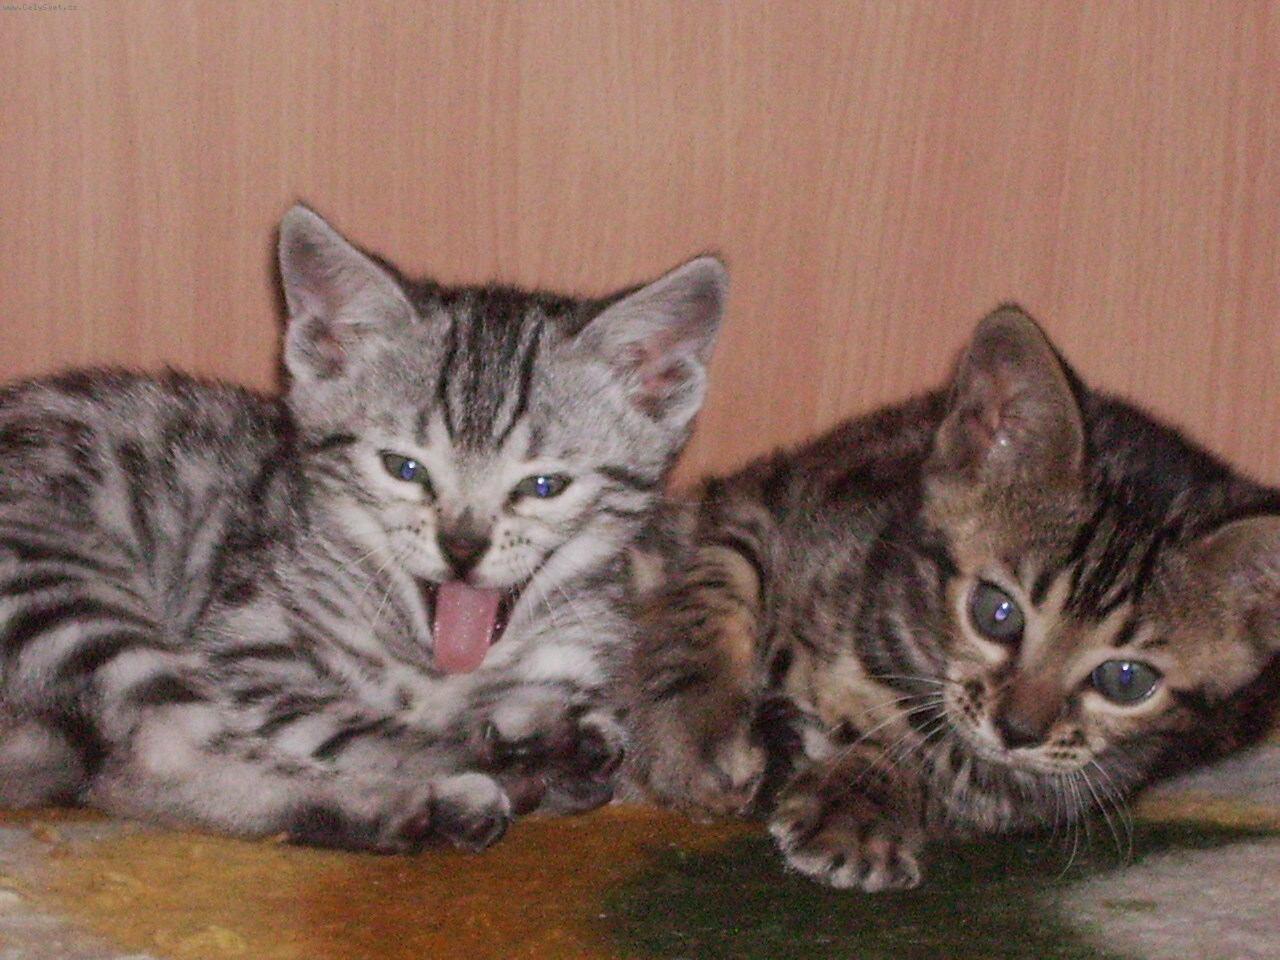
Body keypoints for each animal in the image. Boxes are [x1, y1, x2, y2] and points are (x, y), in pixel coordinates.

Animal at [0, 205, 726, 853]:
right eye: (404, 469)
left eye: (543, 486)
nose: (462, 548)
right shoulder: (247, 654)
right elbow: (357, 725)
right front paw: (510, 755)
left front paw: (535, 729)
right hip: (56, 578)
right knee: (156, 757)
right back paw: (430, 803)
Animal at [626, 306, 1280, 891]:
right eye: (997, 612)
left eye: (1126, 680)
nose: (1017, 730)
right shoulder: (764, 498)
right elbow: (713, 587)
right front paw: (696, 733)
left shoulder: (1058, 785)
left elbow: (953, 768)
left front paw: (859, 801)